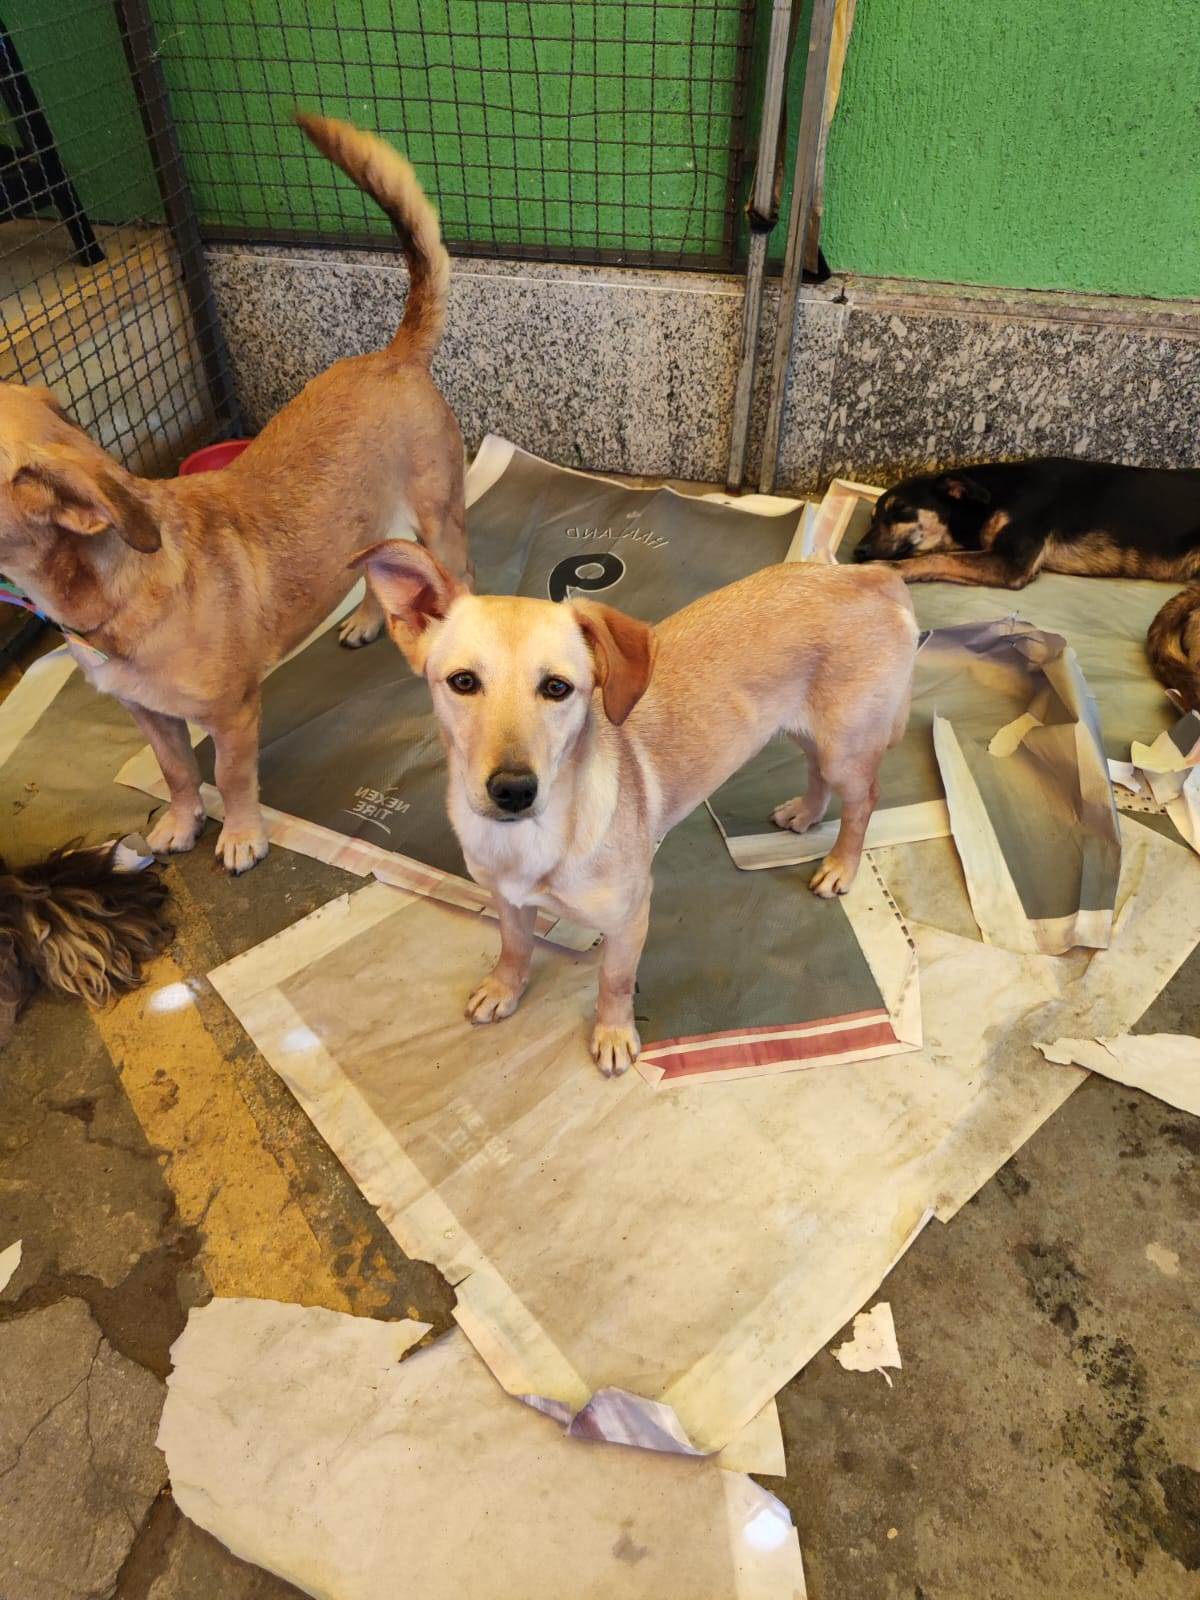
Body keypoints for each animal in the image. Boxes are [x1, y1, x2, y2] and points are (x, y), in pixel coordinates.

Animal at [0, 114, 468, 873]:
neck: (121, 581)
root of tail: (392, 355)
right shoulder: (150, 716)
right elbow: (177, 772)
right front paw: (182, 823)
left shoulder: (232, 716)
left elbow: (230, 774)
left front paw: (243, 833)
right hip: (369, 527)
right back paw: (368, 619)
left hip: (440, 520)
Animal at [357, 541, 917, 1075]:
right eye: (463, 682)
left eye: (557, 688)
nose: (514, 790)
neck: (531, 839)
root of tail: (867, 575)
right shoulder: (508, 900)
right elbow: (514, 947)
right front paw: (503, 988)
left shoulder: (630, 917)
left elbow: (615, 979)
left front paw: (612, 1035)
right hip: (806, 731)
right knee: (817, 773)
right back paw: (806, 813)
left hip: (846, 747)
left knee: (864, 801)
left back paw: (840, 865)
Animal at [853, 458, 1200, 709]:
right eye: (871, 517)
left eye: (899, 510)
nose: (858, 551)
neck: (993, 496)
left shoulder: (1012, 561)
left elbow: (936, 559)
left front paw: (888, 568)